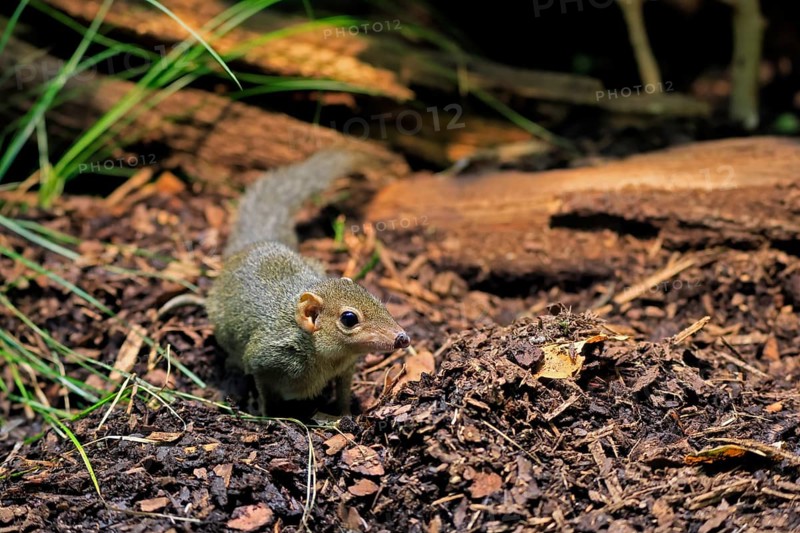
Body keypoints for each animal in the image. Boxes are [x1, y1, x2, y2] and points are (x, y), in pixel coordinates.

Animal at [162, 148, 410, 416]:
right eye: (349, 318)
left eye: (377, 299)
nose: (402, 338)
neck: (326, 359)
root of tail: (254, 243)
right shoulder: (263, 361)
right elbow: (265, 394)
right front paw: (268, 416)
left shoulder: (346, 367)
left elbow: (343, 394)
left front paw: (345, 415)